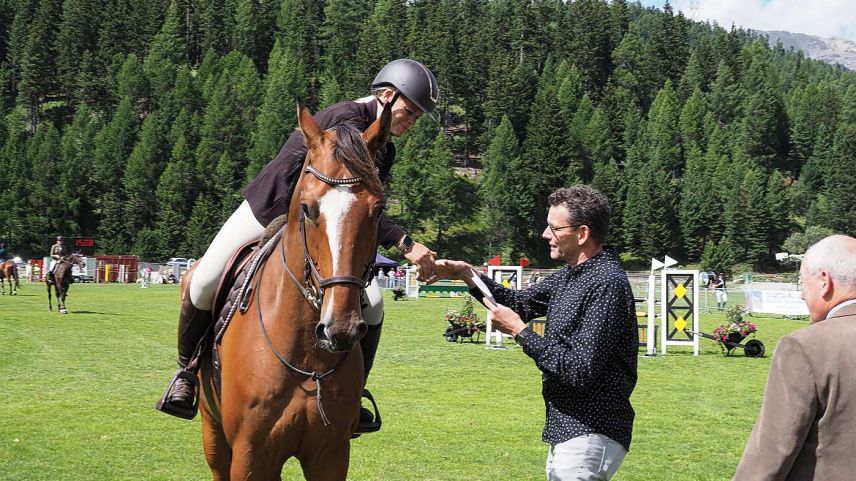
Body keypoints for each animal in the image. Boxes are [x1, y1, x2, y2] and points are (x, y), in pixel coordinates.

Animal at [195, 98, 392, 480]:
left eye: (378, 210)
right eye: (307, 208)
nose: (340, 329)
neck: (306, 360)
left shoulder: (331, 455)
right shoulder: (250, 456)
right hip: (213, 432)